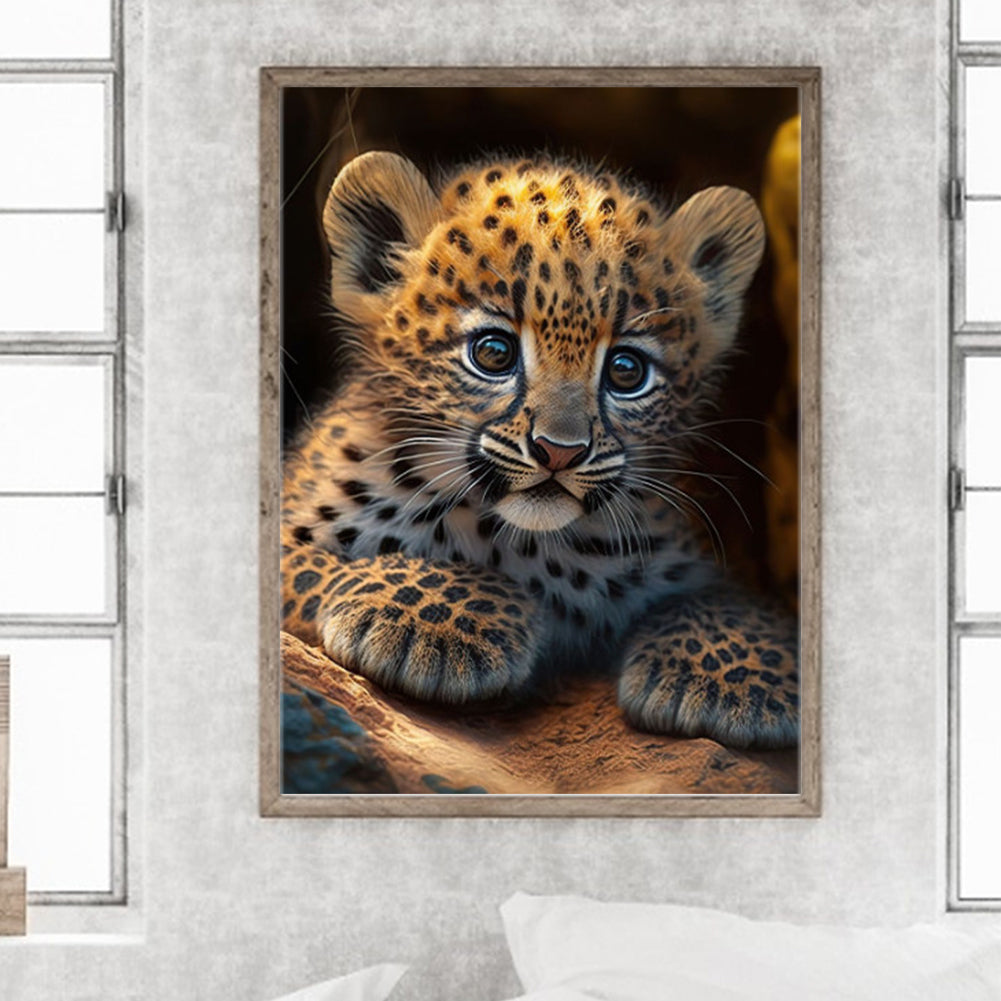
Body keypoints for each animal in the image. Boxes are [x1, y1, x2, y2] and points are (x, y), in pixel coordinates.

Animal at [280, 150, 799, 750]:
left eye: (627, 370)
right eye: (493, 353)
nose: (559, 451)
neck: (522, 546)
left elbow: (726, 602)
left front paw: (731, 678)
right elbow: (318, 563)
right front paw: (435, 618)